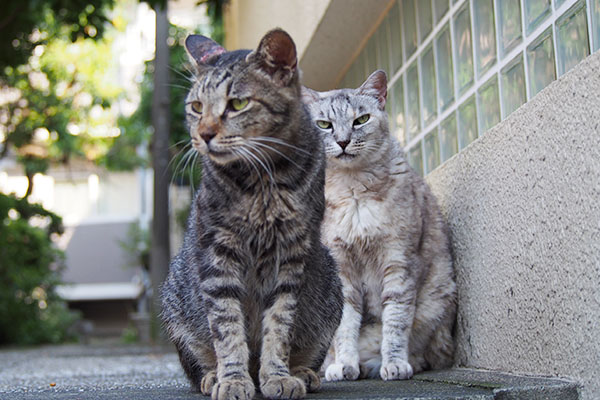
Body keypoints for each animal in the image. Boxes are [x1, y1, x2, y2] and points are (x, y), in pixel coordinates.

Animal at [161, 28, 342, 400]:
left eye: (238, 104)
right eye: (196, 107)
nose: (203, 134)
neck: (263, 182)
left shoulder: (291, 255)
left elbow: (280, 325)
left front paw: (278, 375)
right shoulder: (217, 254)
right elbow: (227, 328)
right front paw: (232, 380)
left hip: (332, 288)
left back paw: (303, 373)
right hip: (175, 304)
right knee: (200, 360)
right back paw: (213, 377)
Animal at [302, 71, 458, 382]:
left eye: (360, 120)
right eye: (324, 124)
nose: (343, 141)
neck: (353, 192)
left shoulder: (398, 259)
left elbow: (395, 323)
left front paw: (395, 364)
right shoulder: (342, 267)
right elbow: (345, 326)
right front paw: (345, 365)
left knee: (430, 353)